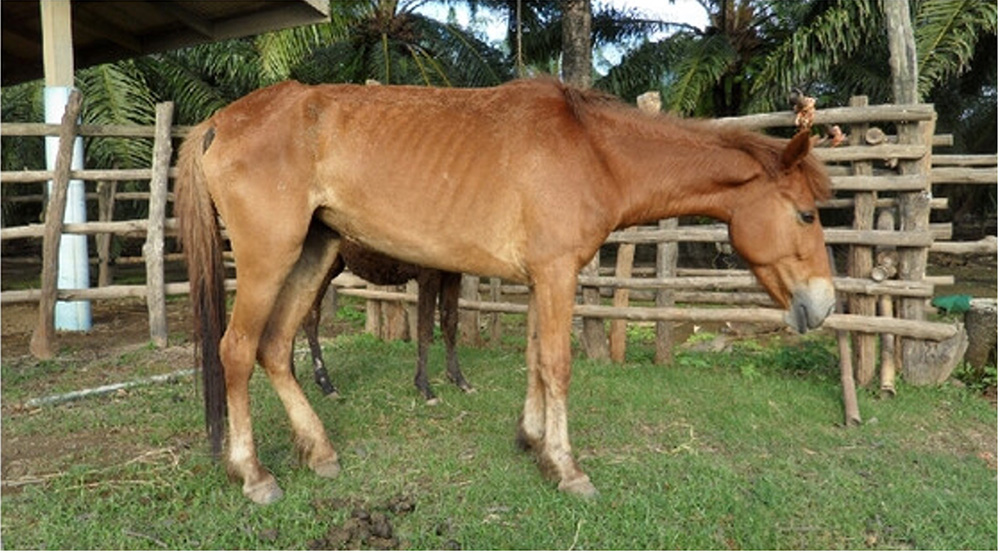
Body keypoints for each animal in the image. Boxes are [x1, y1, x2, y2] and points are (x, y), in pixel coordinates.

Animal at [295, 239, 471, 403]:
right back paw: (326, 385)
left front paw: (460, 380)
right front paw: (425, 388)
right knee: (309, 316)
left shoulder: (453, 271)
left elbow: (450, 321)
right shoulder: (427, 272)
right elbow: (425, 326)